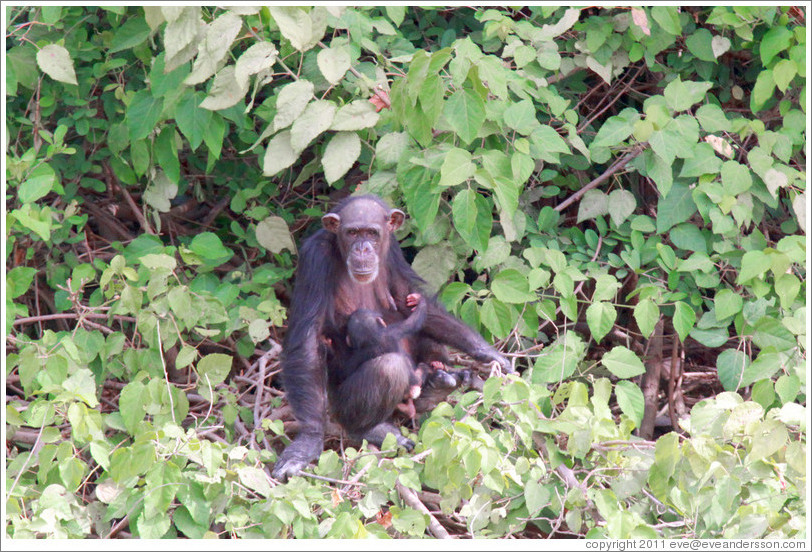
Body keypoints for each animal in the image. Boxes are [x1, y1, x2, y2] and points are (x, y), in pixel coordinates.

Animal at [276, 196, 510, 480]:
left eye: (372, 233)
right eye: (352, 232)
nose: (363, 248)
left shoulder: (394, 252)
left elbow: (409, 301)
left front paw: (488, 353)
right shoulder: (314, 258)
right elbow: (308, 340)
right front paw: (307, 441)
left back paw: (439, 383)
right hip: (339, 406)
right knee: (388, 369)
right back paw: (371, 429)